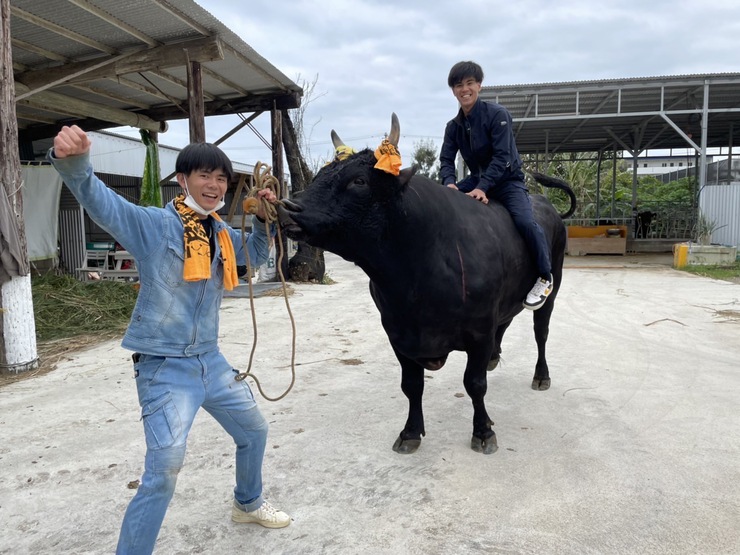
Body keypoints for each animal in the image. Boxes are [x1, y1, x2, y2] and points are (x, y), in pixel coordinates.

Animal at [278, 114, 572, 456]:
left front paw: (483, 431)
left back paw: (541, 376)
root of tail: (545, 204)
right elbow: (412, 385)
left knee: (541, 332)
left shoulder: (479, 331)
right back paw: (495, 359)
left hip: (553, 286)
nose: (287, 207)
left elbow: (474, 384)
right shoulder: (397, 332)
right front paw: (410, 432)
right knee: (507, 321)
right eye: (320, 175)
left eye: (359, 181)